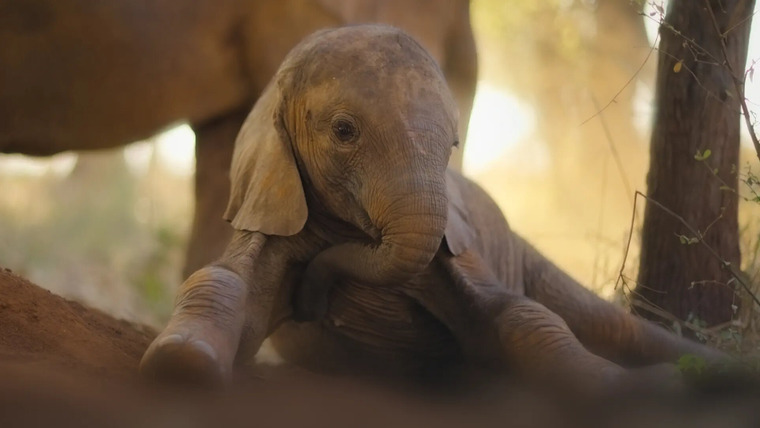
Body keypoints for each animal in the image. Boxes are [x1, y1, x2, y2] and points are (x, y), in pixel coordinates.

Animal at [139, 25, 724, 389]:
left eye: (454, 143)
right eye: (344, 131)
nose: (312, 300)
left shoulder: (457, 250)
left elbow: (520, 313)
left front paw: (621, 388)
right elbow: (217, 278)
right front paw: (183, 362)